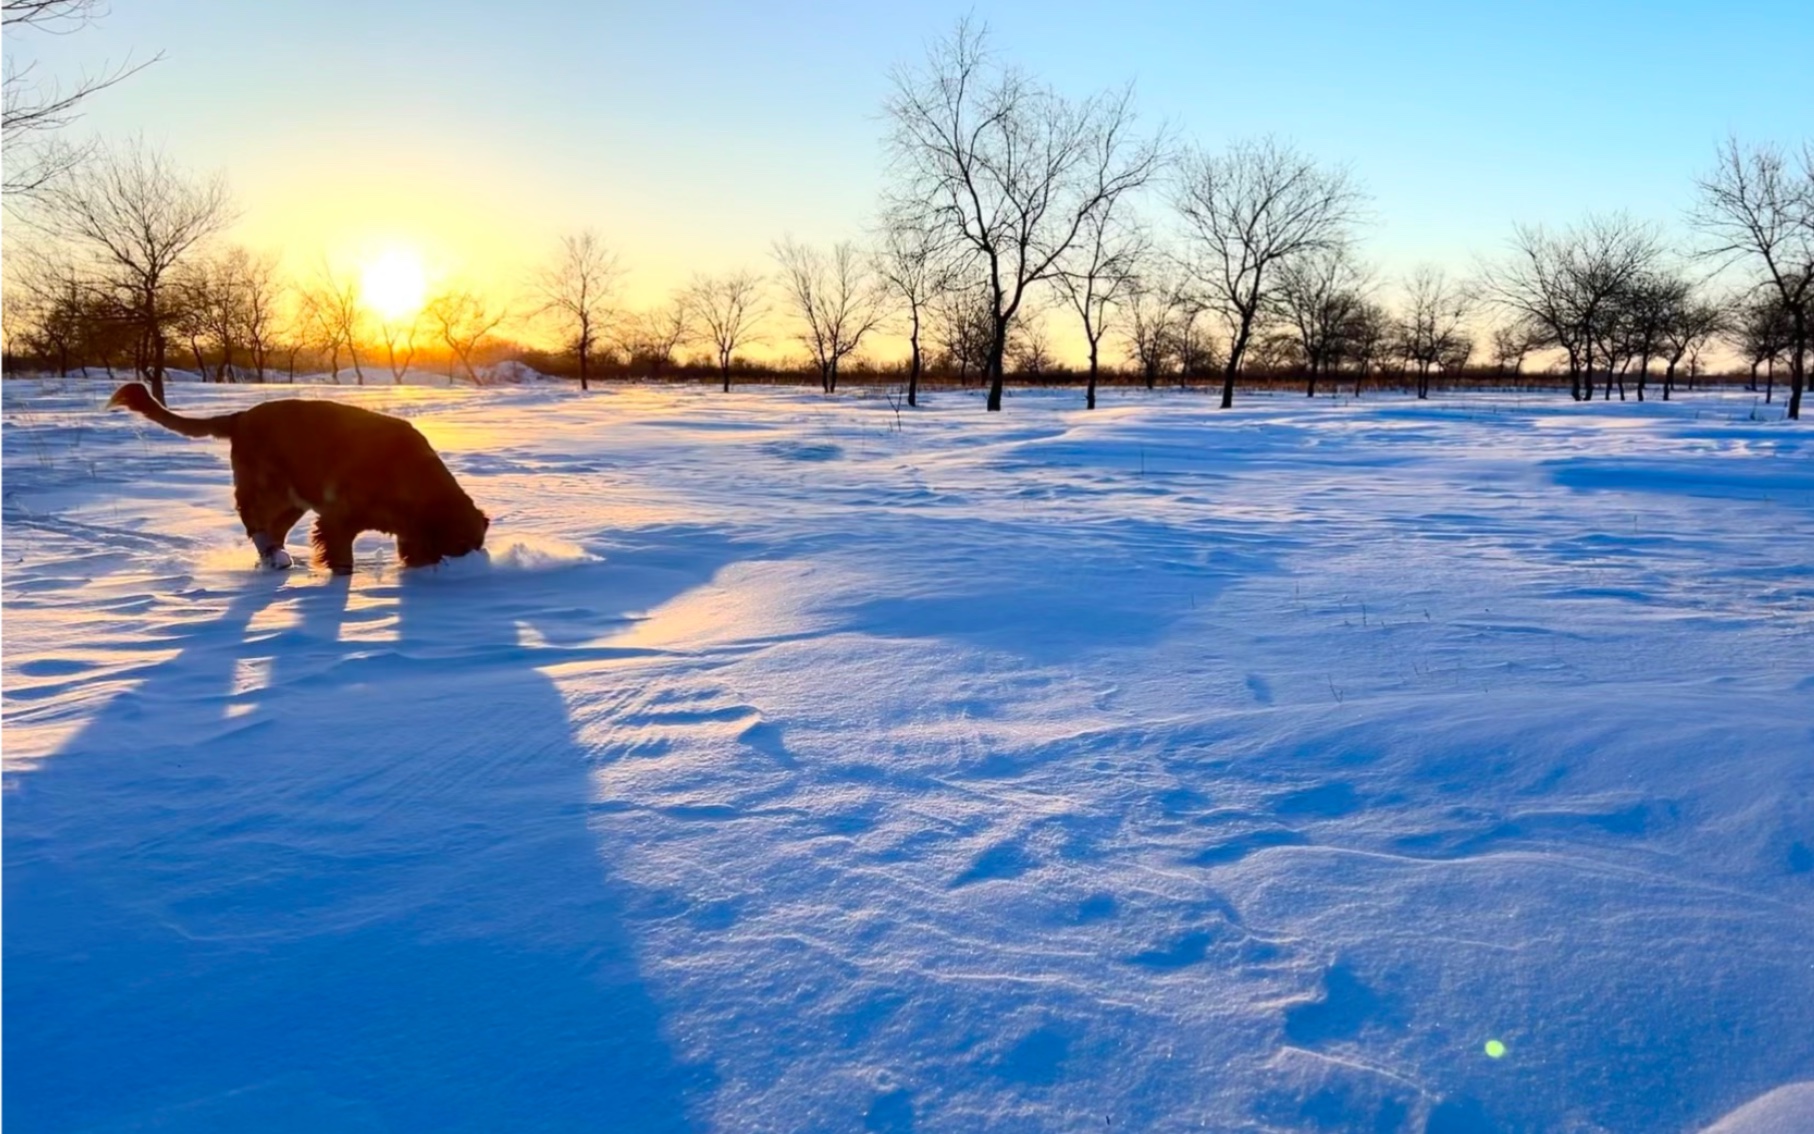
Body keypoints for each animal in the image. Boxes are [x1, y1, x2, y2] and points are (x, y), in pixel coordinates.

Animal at [107, 382, 489, 573]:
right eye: (459, 544)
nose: (473, 564)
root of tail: (240, 416)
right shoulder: (337, 520)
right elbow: (342, 559)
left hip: (295, 499)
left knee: (272, 531)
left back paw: (275, 559)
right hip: (268, 486)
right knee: (254, 523)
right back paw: (273, 556)